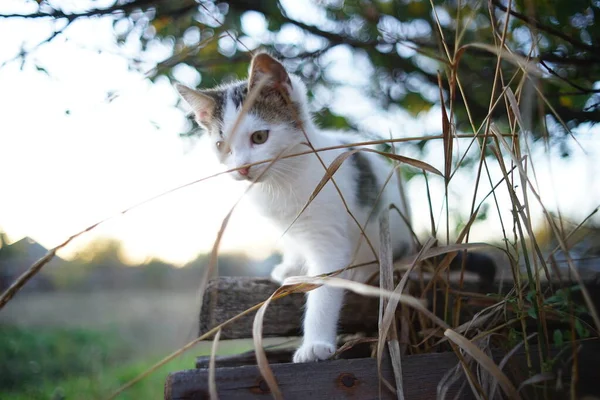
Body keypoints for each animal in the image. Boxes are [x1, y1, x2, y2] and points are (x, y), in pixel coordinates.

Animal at [176, 52, 414, 362]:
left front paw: (315, 344)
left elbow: (323, 288)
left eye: (259, 137)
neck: (281, 182)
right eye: (221, 146)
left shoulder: (328, 235)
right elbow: (292, 241)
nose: (242, 169)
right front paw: (291, 265)